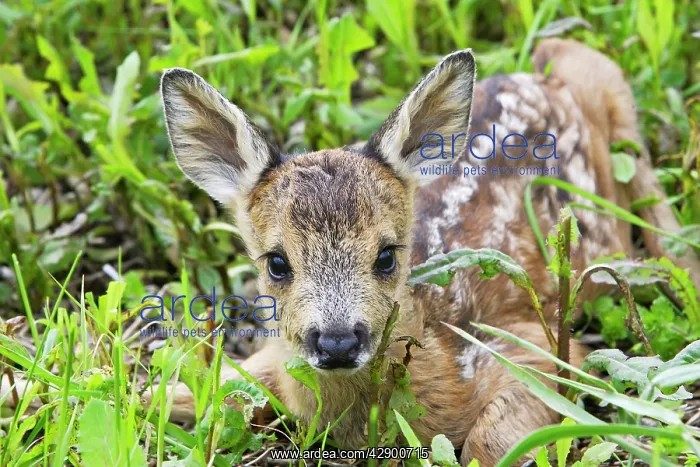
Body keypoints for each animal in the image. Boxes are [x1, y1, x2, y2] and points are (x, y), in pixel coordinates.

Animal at [3, 39, 699, 466]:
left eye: (388, 255)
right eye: (276, 263)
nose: (336, 342)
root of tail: (541, 69)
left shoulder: (532, 342)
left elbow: (495, 438)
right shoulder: (265, 363)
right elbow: (154, 390)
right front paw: (25, 391)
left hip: (610, 96)